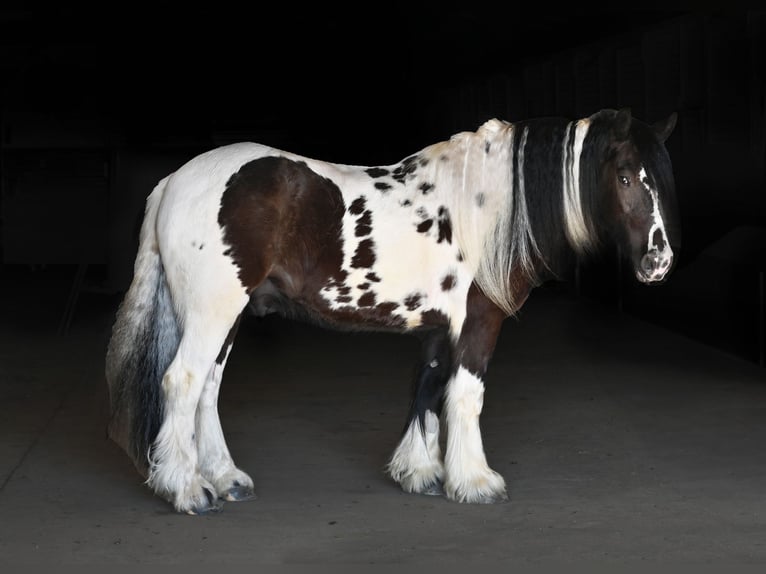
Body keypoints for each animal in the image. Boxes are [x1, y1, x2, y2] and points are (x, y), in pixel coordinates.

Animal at [105, 108, 680, 516]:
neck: (486, 207)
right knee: (182, 381)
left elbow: (426, 389)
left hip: (227, 315)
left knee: (207, 389)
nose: (659, 261)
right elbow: (465, 397)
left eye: (660, 179)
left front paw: (420, 473)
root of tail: (175, 181)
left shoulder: (439, 329)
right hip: (213, 311)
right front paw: (475, 481)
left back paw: (225, 480)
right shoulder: (478, 323)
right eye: (625, 177)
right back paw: (188, 490)